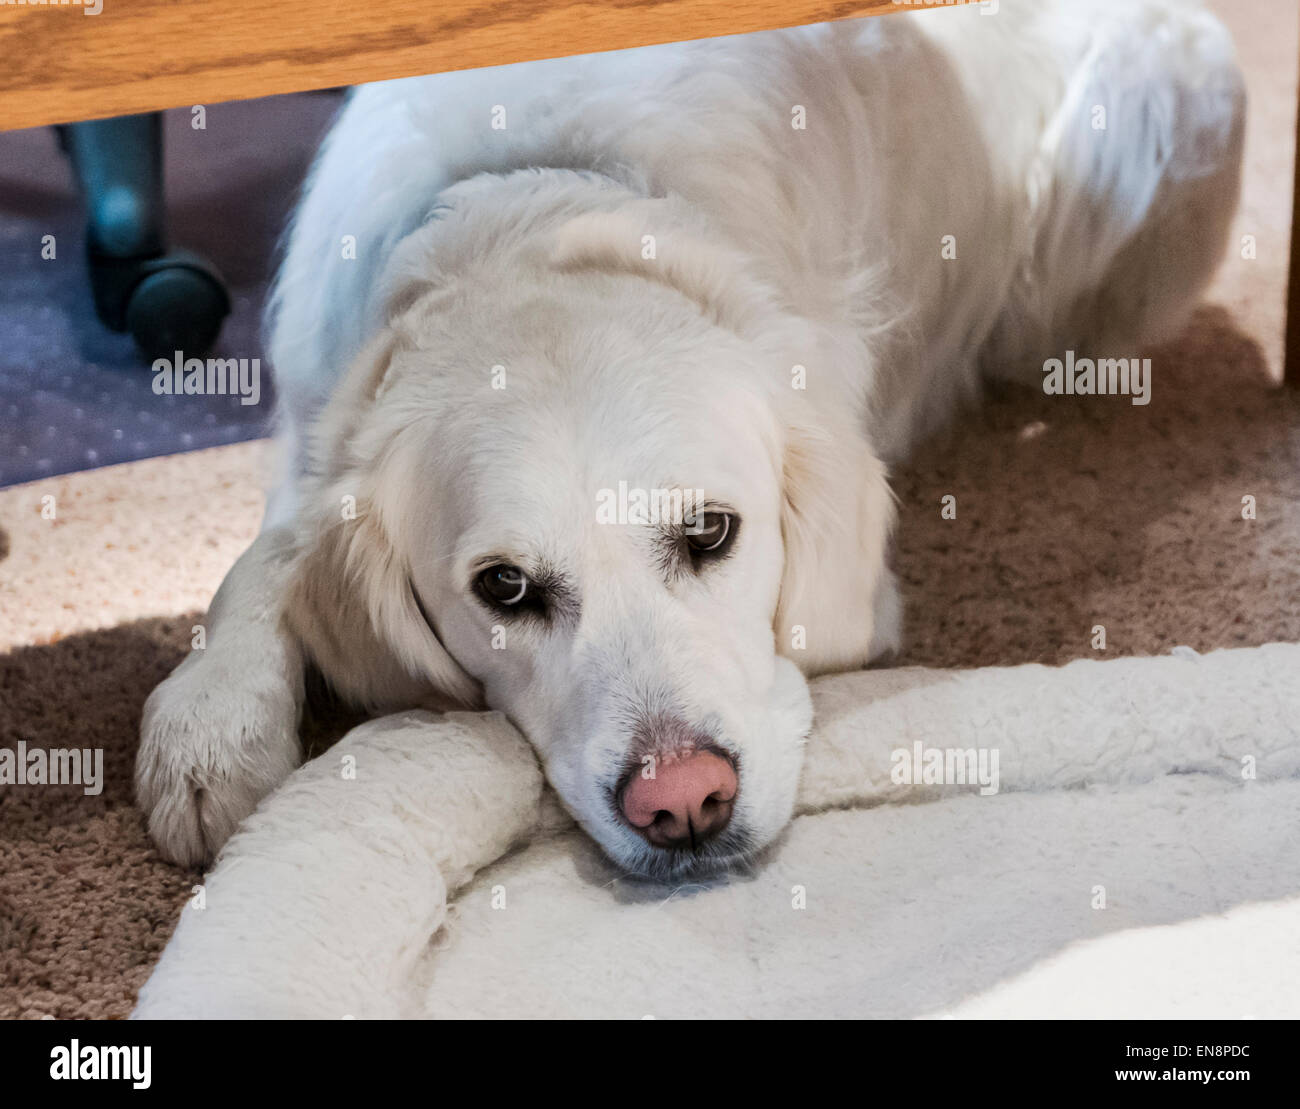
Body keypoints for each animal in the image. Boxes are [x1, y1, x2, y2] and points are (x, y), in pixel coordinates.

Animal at [137, 0, 1242, 878]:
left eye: (712, 532)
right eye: (505, 588)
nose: (681, 801)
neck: (538, 198)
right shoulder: (314, 414)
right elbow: (261, 559)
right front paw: (211, 722)